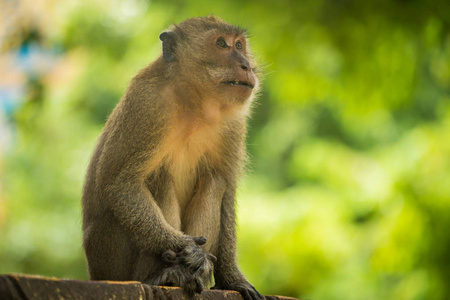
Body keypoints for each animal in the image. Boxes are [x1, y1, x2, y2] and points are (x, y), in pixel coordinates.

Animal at [82, 15, 262, 300]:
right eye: (221, 44)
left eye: (239, 45)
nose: (246, 65)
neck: (194, 105)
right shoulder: (146, 104)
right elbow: (118, 183)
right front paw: (183, 244)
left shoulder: (234, 124)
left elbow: (228, 189)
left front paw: (232, 278)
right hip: (109, 256)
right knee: (157, 175)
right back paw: (163, 275)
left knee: (215, 180)